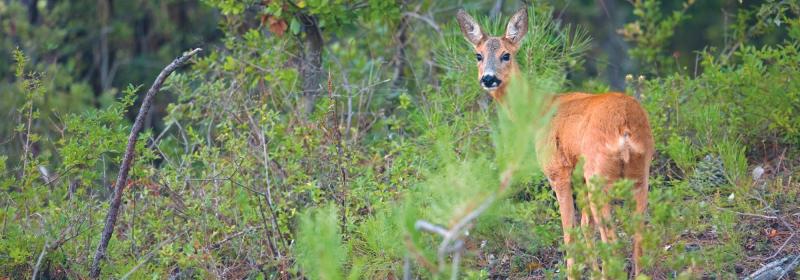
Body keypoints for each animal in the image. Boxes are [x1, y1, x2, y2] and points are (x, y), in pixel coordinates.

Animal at [456, 7, 656, 278]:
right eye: (478, 55)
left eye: (506, 55)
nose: (488, 78)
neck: (539, 111)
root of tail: (624, 126)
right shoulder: (579, 175)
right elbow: (586, 228)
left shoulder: (558, 169)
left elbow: (570, 232)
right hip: (640, 171)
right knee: (638, 235)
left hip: (599, 173)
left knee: (612, 239)